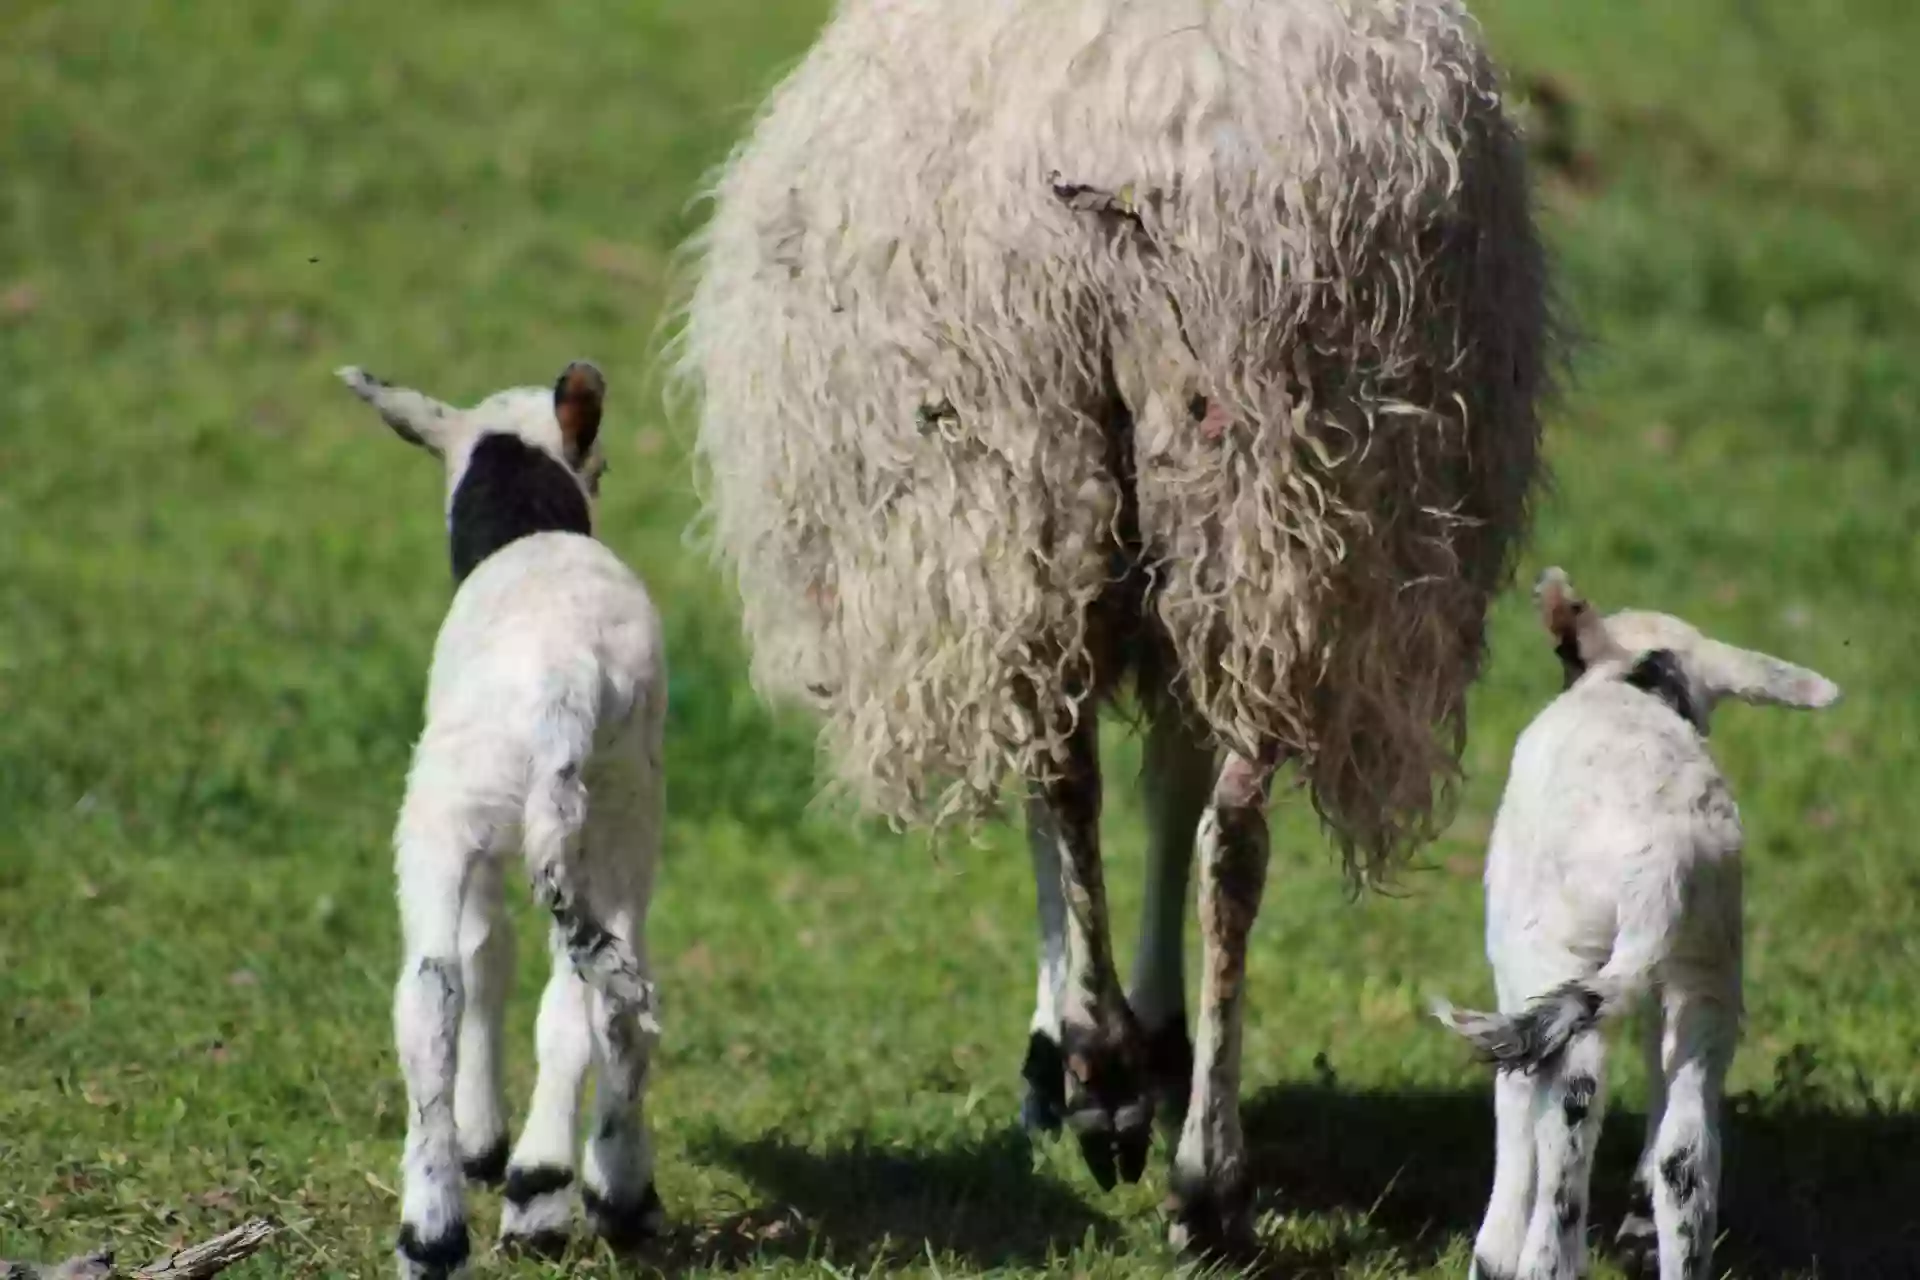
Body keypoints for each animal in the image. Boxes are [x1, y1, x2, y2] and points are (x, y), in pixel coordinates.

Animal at [341, 360, 672, 1280]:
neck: (526, 529)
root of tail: (567, 681)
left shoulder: (483, 845)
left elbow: (486, 960)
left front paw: (484, 1146)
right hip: (614, 812)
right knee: (600, 992)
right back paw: (570, 1193)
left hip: (458, 811)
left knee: (438, 993)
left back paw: (468, 1215)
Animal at [675, 0, 1559, 1258]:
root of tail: (1141, 135)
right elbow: (1174, 788)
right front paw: (1152, 1042)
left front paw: (1089, 1045)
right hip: (1283, 491)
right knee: (1230, 832)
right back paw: (1206, 1173)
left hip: (1016, 456)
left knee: (1062, 773)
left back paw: (1099, 1069)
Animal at [1436, 564, 1835, 1280]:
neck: (1637, 688)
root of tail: (1665, 864)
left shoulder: (1518, 968)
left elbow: (1516, 1103)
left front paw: (1493, 1252)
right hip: (1705, 963)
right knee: (1687, 1150)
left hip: (1561, 951)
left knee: (1570, 1106)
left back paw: (1541, 1258)